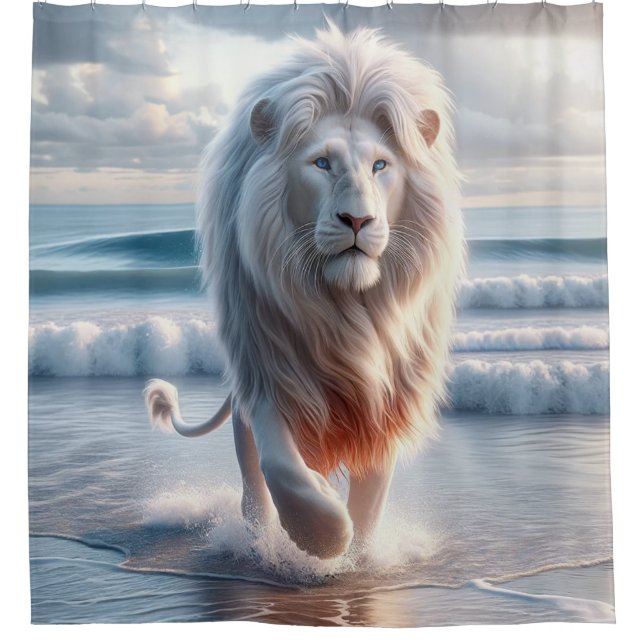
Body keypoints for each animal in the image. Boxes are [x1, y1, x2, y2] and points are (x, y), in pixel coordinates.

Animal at [145, 23, 464, 560]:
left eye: (381, 165)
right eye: (321, 163)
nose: (357, 219)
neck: (345, 308)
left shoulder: (385, 397)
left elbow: (371, 500)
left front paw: (357, 556)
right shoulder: (269, 374)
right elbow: (282, 469)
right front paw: (323, 535)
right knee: (252, 481)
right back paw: (259, 542)